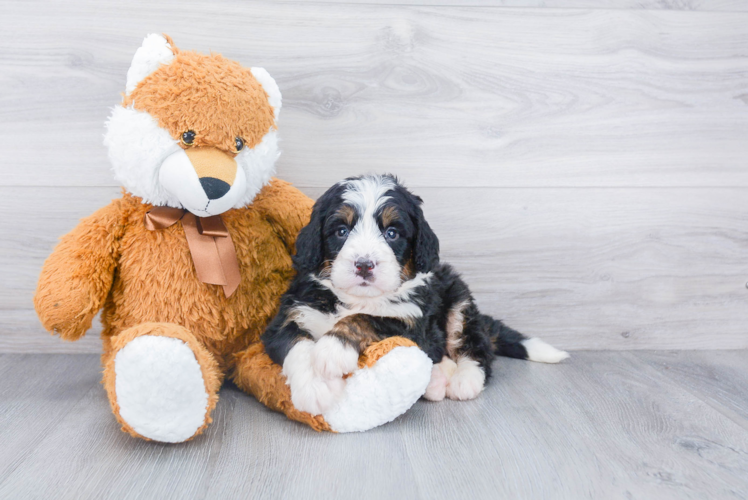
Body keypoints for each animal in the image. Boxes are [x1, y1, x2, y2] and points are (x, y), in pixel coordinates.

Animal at [262, 174, 568, 416]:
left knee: (476, 347)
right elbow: (296, 345)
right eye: (341, 230)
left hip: (459, 302)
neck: (355, 298)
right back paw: (436, 379)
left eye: (392, 233)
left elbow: (366, 319)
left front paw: (332, 349)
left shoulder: (411, 321)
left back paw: (464, 380)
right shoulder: (290, 313)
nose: (364, 264)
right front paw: (314, 388)